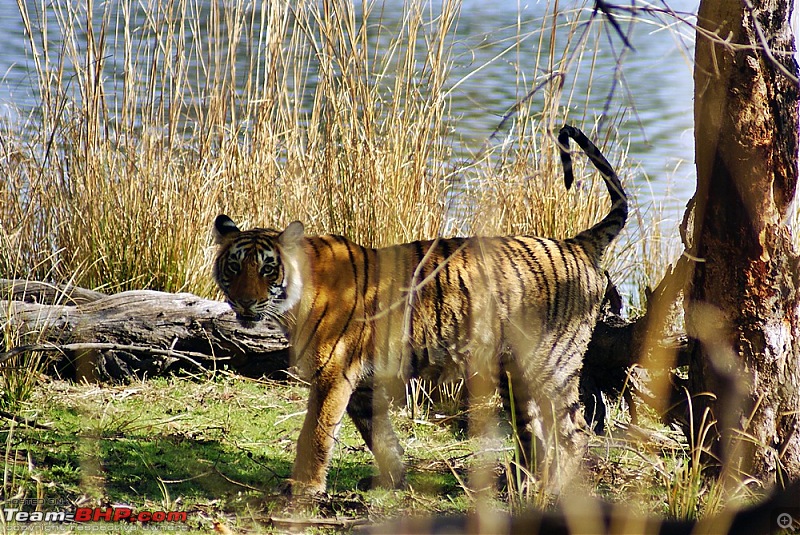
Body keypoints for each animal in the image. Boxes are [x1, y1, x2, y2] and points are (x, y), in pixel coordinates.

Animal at [216, 124, 628, 494]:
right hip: (515, 376)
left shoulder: (333, 374)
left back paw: (553, 490)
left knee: (574, 432)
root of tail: (576, 243)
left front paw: (303, 487)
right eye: (234, 267)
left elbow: (316, 432)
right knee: (536, 434)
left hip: (550, 367)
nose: (244, 301)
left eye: (267, 269)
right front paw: (392, 479)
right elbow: (377, 432)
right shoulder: (362, 381)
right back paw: (519, 485)